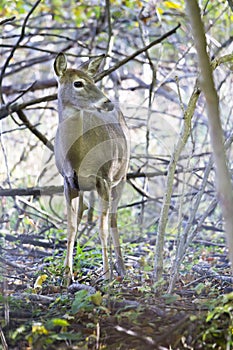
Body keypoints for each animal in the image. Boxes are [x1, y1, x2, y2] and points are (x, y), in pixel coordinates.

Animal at [53, 51, 129, 282]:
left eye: (93, 80)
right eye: (78, 82)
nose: (107, 102)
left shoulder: (104, 178)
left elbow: (102, 227)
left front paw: (107, 274)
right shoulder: (68, 181)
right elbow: (70, 227)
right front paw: (67, 275)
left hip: (121, 177)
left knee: (113, 219)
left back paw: (121, 268)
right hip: (84, 187)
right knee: (82, 213)